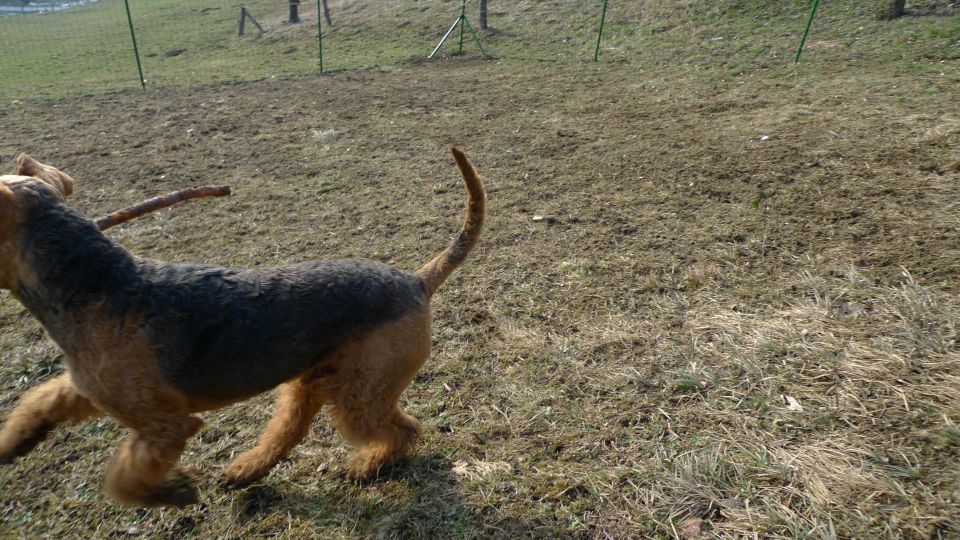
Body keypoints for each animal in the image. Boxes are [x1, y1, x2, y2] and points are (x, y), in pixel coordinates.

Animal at [0, 147, 484, 506]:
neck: (98, 282)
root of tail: (415, 281)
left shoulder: (164, 425)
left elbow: (124, 480)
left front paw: (175, 492)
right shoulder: (90, 388)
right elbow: (39, 400)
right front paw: (14, 443)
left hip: (359, 392)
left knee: (404, 430)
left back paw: (364, 467)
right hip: (313, 380)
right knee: (291, 429)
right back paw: (246, 471)